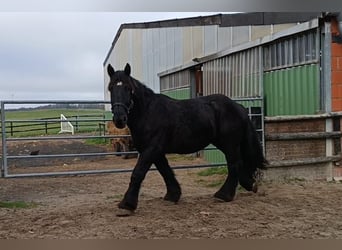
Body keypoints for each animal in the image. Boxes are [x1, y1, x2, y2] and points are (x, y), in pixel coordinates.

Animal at [107, 63, 268, 214]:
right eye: (110, 88)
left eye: (128, 88)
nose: (119, 119)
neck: (149, 112)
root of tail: (238, 106)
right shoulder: (156, 152)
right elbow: (165, 171)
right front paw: (173, 195)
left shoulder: (151, 149)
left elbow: (138, 173)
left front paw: (127, 204)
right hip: (224, 143)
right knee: (240, 163)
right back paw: (249, 184)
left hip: (230, 144)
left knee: (235, 164)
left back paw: (224, 195)